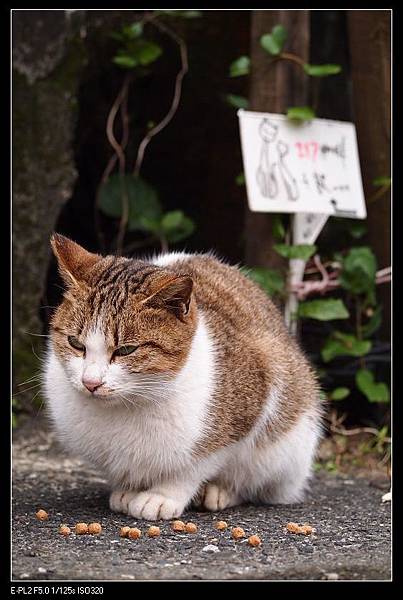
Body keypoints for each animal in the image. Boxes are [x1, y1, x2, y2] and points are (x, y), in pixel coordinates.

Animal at [44, 234, 324, 520]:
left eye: (125, 350)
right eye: (76, 343)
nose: (90, 382)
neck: (126, 406)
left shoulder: (249, 403)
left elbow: (193, 468)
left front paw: (162, 495)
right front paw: (128, 490)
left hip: (288, 442)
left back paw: (219, 491)